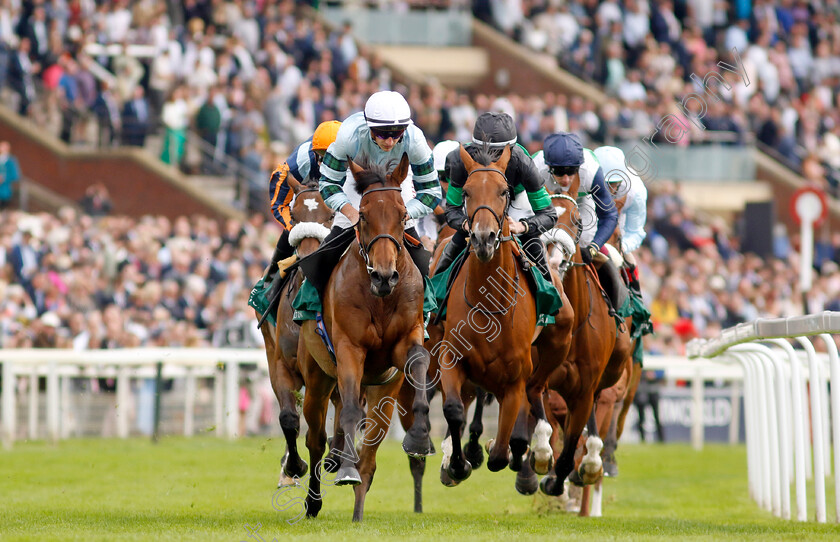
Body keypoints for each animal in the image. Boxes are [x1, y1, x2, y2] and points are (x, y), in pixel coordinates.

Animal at [256, 177, 334, 488]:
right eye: (294, 214)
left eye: (330, 215)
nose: (309, 257)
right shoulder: (281, 364)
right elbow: (288, 418)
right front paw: (293, 466)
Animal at [298, 154, 434, 524]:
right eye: (362, 215)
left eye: (402, 215)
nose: (385, 275)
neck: (381, 299)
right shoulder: (349, 349)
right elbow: (345, 414)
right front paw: (344, 469)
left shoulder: (402, 347)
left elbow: (418, 360)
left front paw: (419, 437)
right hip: (316, 378)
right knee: (315, 439)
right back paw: (316, 498)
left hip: (382, 390)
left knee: (370, 452)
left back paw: (358, 510)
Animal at [436, 144, 548, 484]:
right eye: (466, 192)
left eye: (503, 191)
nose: (483, 238)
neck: (488, 307)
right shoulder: (451, 357)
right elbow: (453, 410)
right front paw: (458, 463)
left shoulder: (515, 381)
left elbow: (501, 452)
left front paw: (503, 451)